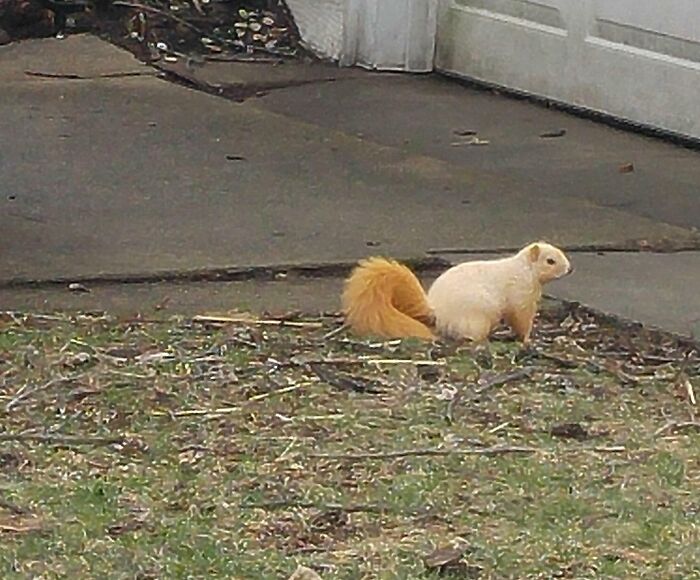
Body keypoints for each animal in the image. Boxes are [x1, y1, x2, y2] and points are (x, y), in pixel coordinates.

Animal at [342, 242, 572, 344]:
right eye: (550, 261)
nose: (570, 269)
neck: (525, 270)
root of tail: (436, 312)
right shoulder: (521, 296)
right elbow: (521, 319)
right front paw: (527, 339)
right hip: (477, 318)